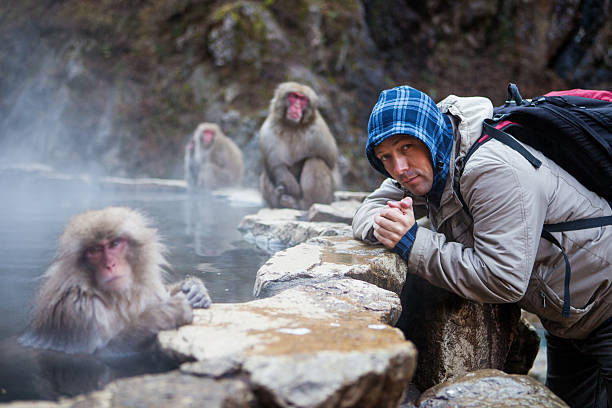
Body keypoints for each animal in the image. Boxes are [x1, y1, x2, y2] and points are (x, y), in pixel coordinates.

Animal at [19, 207, 212, 354]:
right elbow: (100, 353)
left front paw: (194, 289)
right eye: (95, 250)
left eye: (115, 244)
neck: (114, 297)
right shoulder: (77, 310)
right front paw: (166, 312)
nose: (110, 265)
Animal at [256, 82, 338, 210]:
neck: (293, 127)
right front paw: (291, 189)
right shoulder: (267, 130)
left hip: (328, 198)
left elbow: (331, 163)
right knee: (267, 172)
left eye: (302, 99)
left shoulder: (319, 132)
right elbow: (276, 166)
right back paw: (280, 202)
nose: (296, 106)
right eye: (293, 96)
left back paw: (303, 204)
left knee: (315, 162)